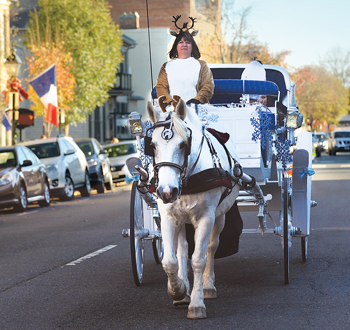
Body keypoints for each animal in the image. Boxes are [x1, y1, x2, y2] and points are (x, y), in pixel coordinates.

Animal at [147, 98, 241, 320]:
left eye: (183, 145)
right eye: (152, 145)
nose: (166, 191)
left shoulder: (206, 217)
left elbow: (199, 259)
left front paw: (197, 304)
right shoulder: (168, 217)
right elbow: (170, 261)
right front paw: (178, 290)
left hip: (220, 216)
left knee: (211, 248)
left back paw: (207, 286)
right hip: (181, 219)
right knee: (182, 250)